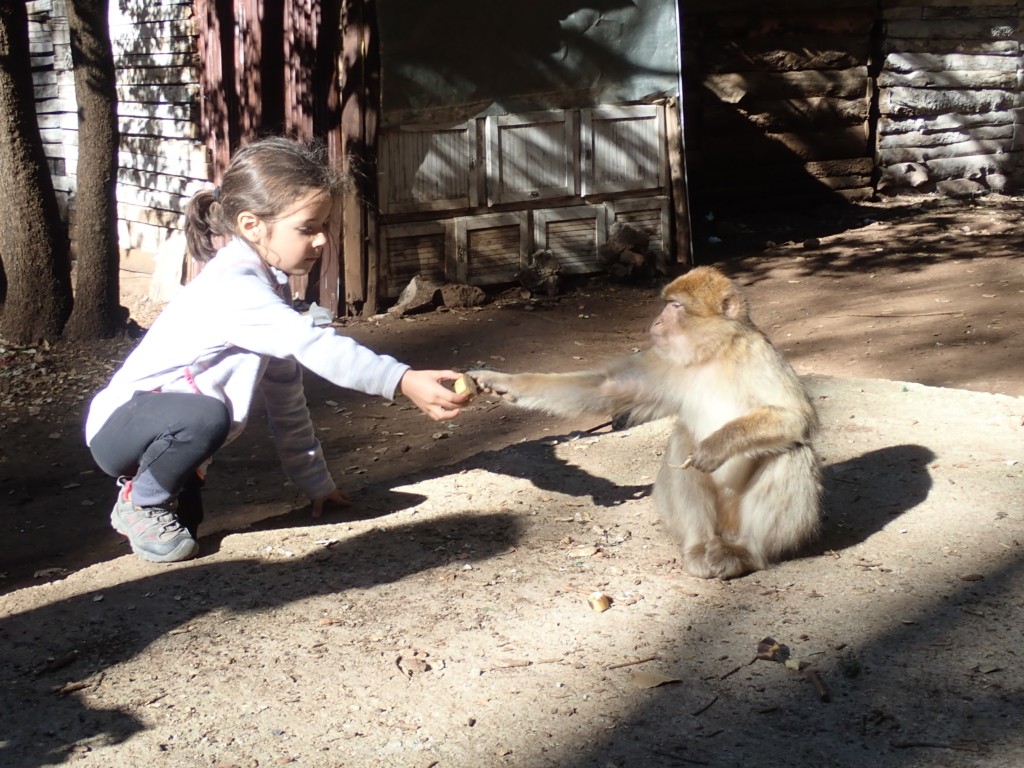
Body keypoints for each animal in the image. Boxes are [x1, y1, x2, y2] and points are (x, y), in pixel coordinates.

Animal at [471, 268, 823, 581]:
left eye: (676, 306)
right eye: (666, 303)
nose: (657, 320)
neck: (711, 354)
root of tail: (725, 533)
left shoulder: (758, 356)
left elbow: (797, 416)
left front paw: (714, 447)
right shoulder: (665, 361)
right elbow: (605, 387)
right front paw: (499, 381)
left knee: (789, 452)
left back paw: (746, 553)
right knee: (682, 441)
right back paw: (697, 547)